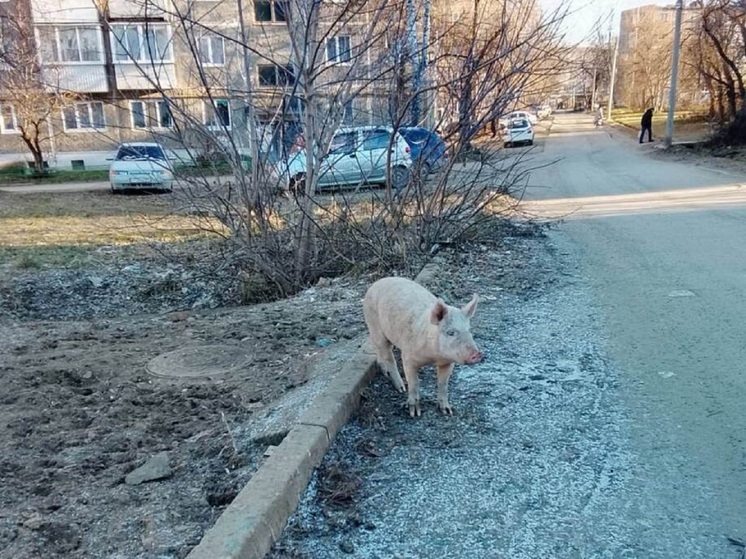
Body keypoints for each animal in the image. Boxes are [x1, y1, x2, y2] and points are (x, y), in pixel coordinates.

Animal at [363, 276, 483, 417]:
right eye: (451, 332)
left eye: (469, 330)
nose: (478, 354)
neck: (434, 356)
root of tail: (377, 282)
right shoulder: (408, 357)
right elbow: (414, 383)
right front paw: (414, 413)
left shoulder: (448, 362)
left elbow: (443, 384)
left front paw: (447, 411)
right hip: (374, 325)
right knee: (388, 356)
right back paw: (401, 388)